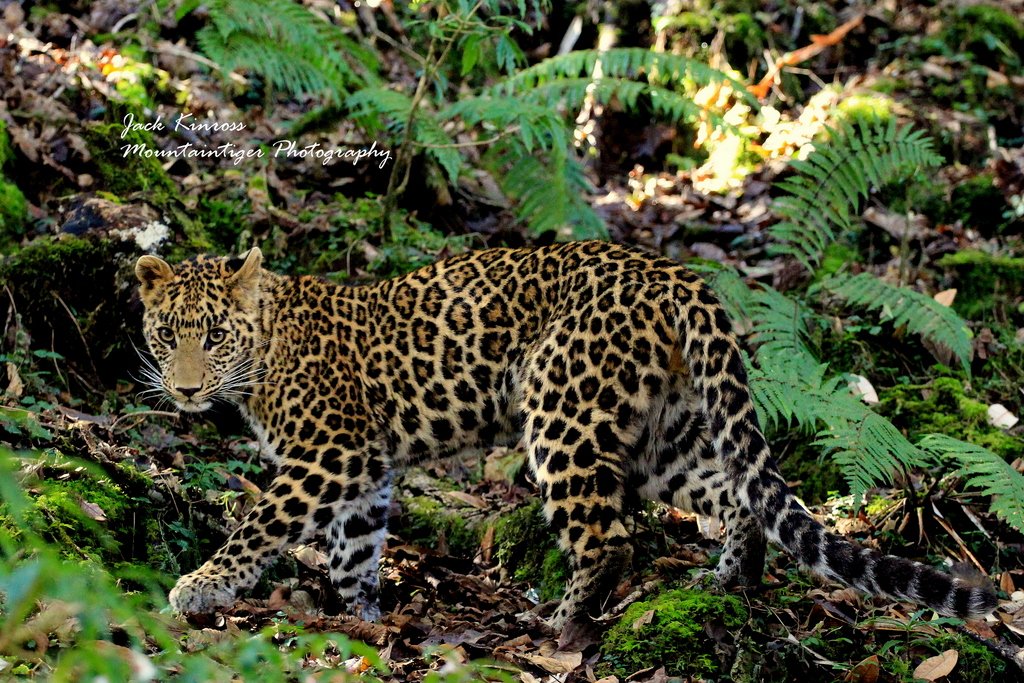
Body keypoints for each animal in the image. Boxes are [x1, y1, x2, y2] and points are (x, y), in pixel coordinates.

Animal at [135, 240, 996, 631]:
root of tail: (674, 274)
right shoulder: (367, 471)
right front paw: (366, 618)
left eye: (215, 336)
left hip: (563, 414)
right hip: (666, 437)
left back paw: (561, 623)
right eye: (168, 332)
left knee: (609, 537)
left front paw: (200, 585)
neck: (265, 352)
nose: (184, 389)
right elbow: (355, 549)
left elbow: (258, 522)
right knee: (739, 495)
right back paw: (729, 581)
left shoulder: (331, 454)